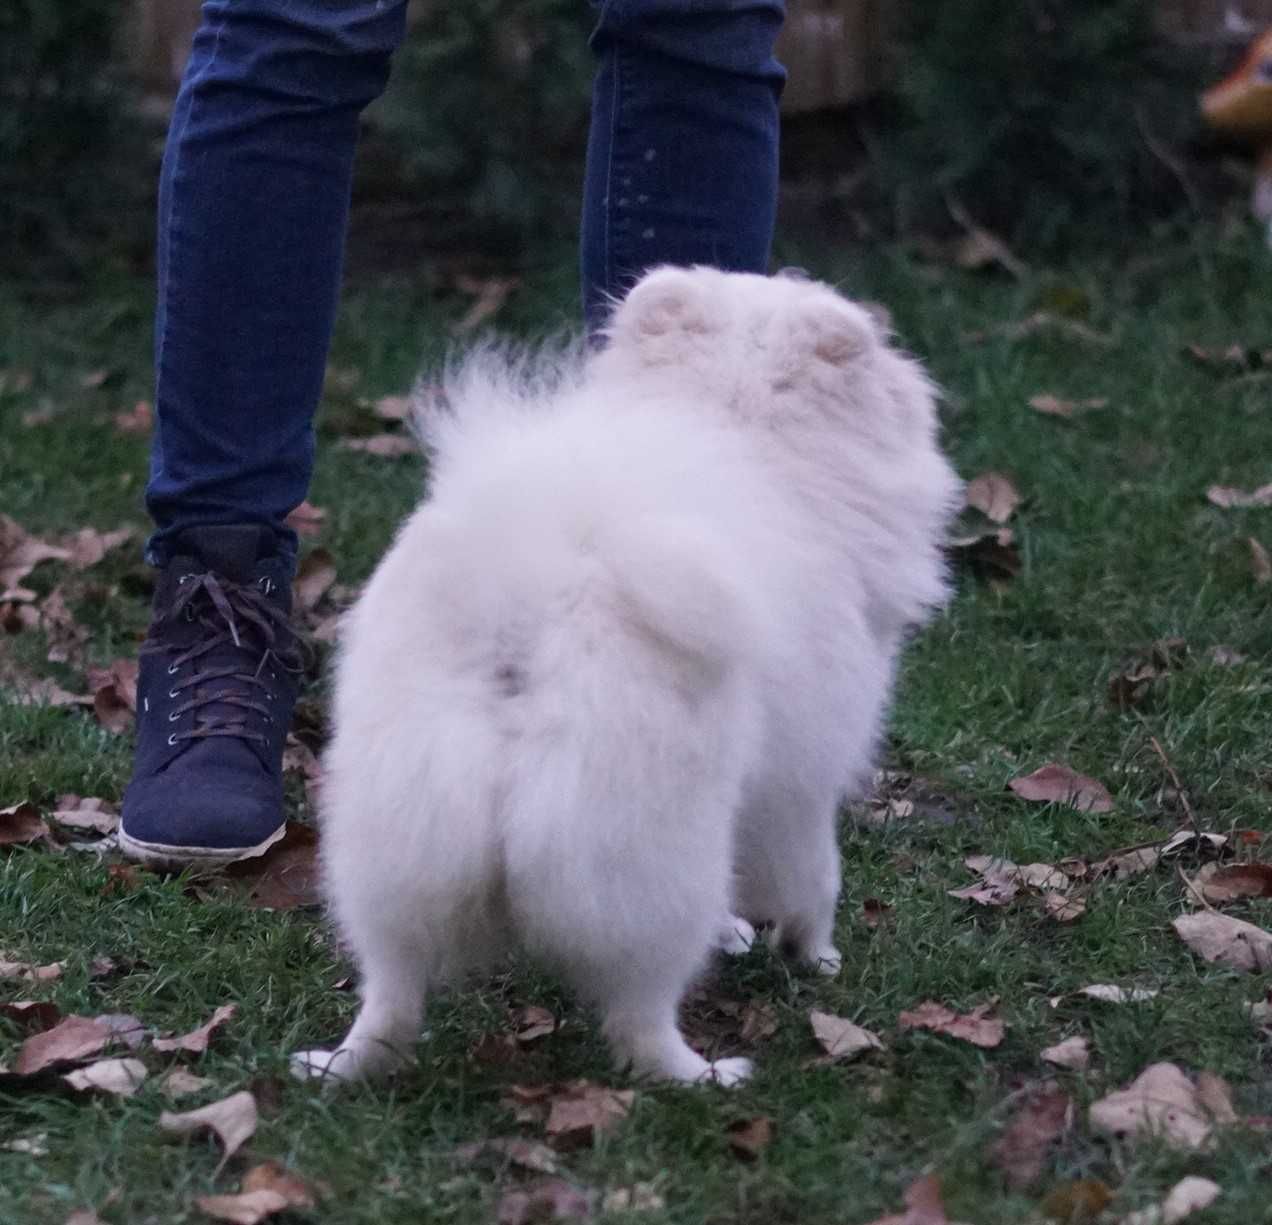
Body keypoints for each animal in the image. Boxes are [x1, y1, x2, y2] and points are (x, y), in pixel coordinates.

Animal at [292, 263, 956, 1088]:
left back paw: (339, 1063)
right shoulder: (801, 777)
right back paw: (706, 1073)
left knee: (392, 991)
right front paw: (813, 953)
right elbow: (813, 875)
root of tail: (526, 620)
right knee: (639, 1018)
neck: (733, 414)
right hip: (651, 858)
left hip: (397, 848)